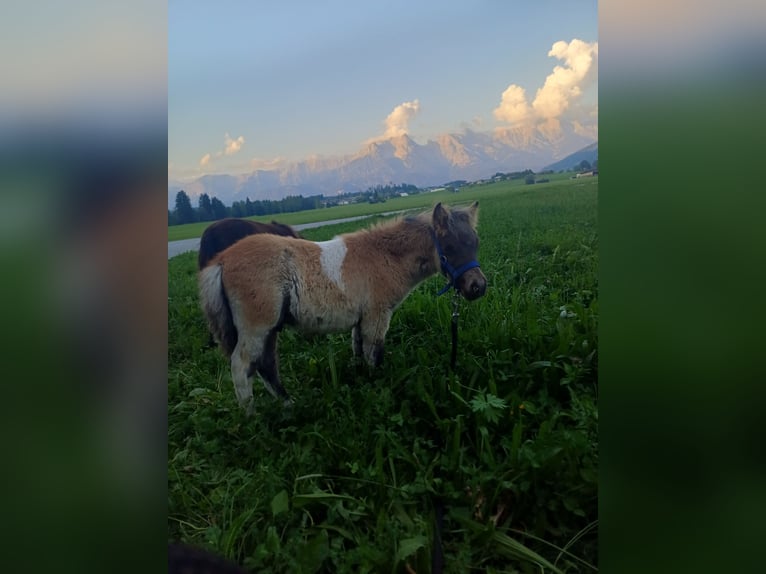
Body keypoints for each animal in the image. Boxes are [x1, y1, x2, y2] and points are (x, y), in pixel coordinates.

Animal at [198, 201, 486, 414]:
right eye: (449, 246)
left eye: (475, 242)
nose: (478, 287)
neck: (383, 256)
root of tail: (221, 261)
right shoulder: (377, 316)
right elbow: (374, 355)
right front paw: (377, 389)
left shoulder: (361, 320)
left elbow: (358, 352)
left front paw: (362, 384)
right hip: (257, 327)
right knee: (242, 365)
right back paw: (252, 418)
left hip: (269, 328)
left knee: (266, 364)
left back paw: (289, 405)